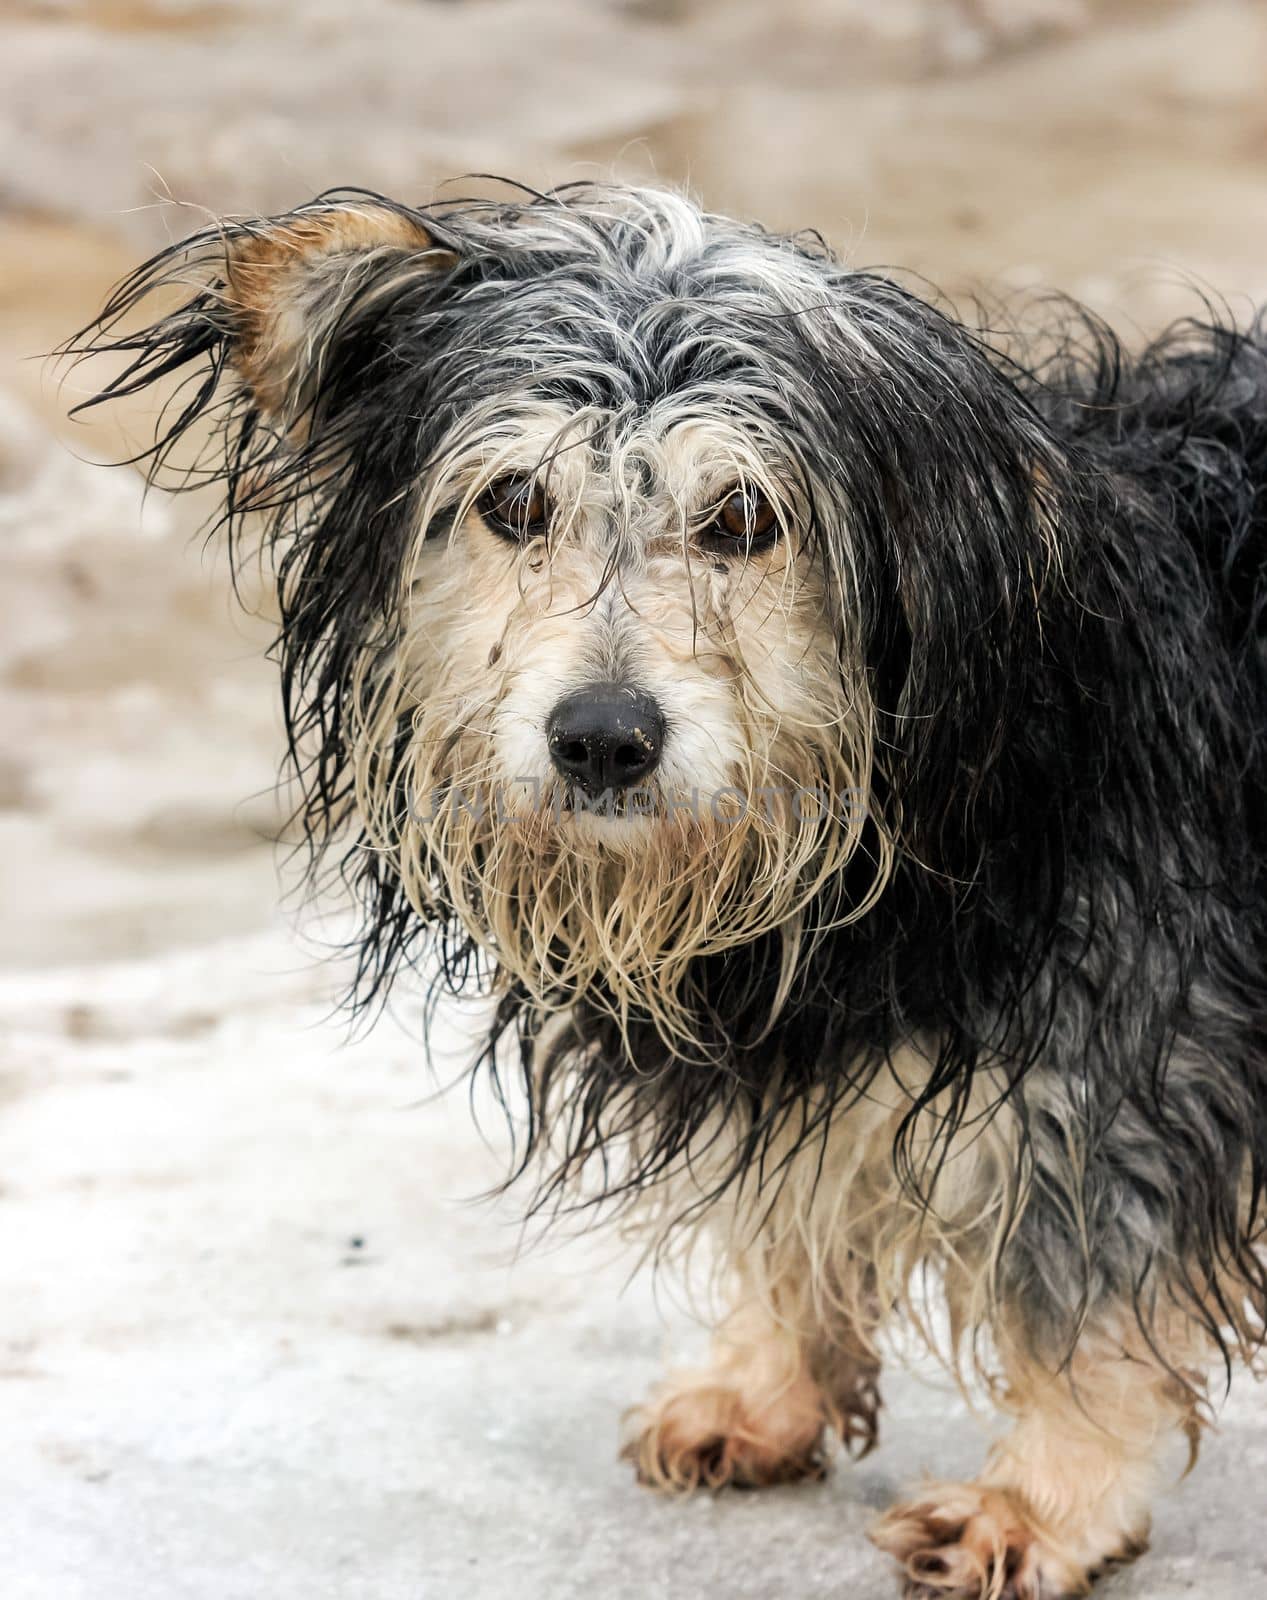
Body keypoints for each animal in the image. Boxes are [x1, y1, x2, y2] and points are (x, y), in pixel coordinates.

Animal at [71, 187, 1267, 1600]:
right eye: (513, 500)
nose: (600, 738)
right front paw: (764, 1387)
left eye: (743, 518)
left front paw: (1044, 1501)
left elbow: (1081, 1284)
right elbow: (790, 1213)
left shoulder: (1132, 1038)